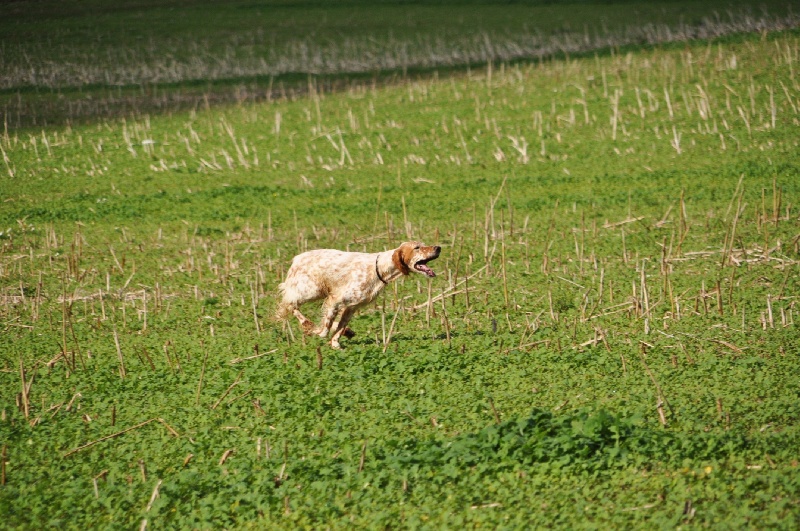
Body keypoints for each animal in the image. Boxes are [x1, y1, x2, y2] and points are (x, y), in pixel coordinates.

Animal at [276, 241, 438, 350]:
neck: (379, 268)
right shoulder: (335, 300)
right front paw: (317, 331)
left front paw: (336, 343)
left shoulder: (352, 307)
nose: (438, 248)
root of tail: (297, 258)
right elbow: (324, 330)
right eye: (417, 248)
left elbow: (339, 327)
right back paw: (307, 324)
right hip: (310, 290)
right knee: (288, 305)